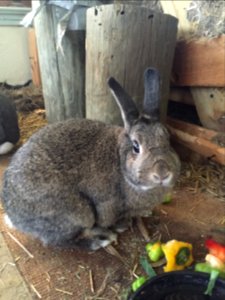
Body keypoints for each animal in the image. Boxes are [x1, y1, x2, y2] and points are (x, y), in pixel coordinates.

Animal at [0, 68, 180, 251]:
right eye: (136, 146)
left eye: (168, 139)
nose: (162, 173)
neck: (121, 161)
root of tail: (14, 217)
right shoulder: (107, 206)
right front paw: (121, 226)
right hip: (77, 213)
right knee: (62, 241)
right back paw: (100, 239)